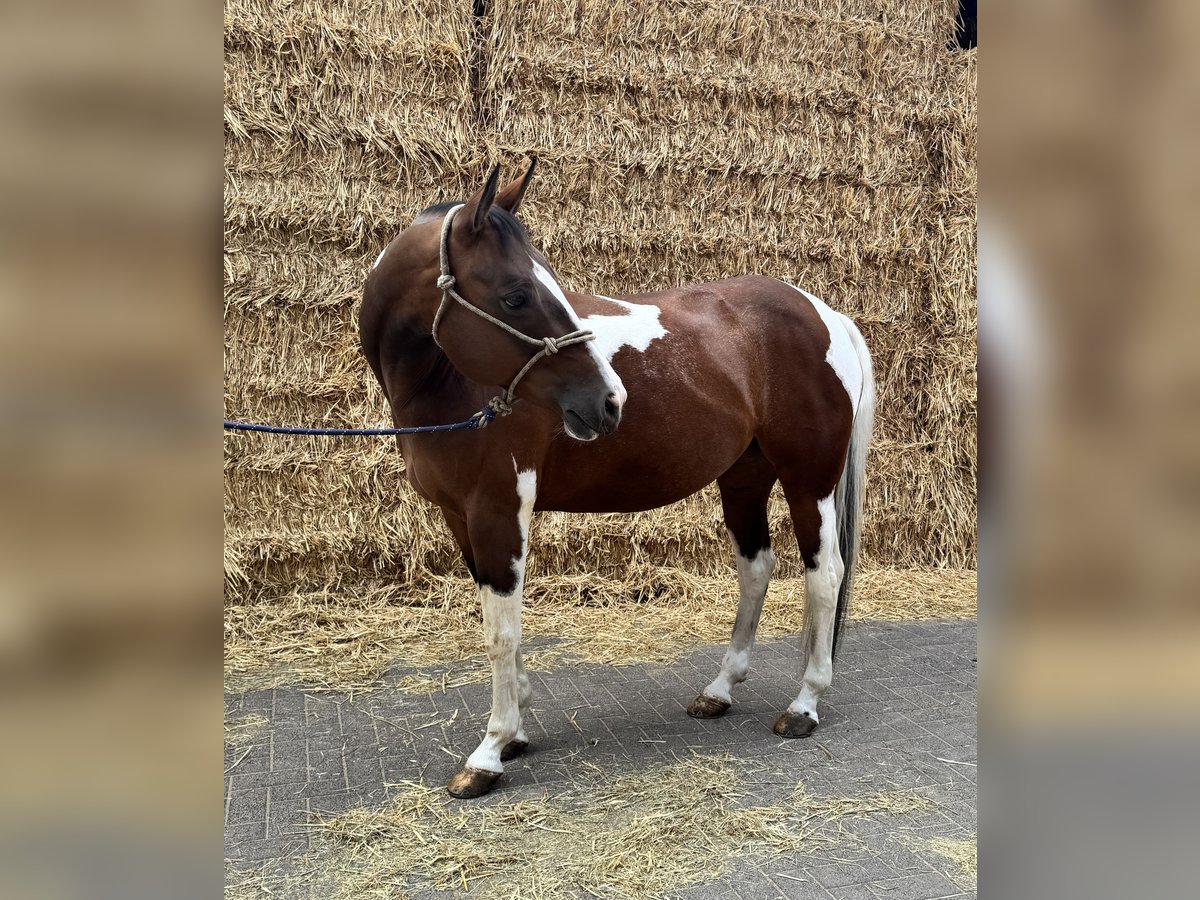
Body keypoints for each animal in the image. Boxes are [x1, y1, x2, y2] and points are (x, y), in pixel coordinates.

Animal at [359, 159, 875, 798]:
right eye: (516, 294)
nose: (610, 401)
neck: (447, 383)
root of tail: (824, 314)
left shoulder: (498, 511)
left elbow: (502, 632)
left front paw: (490, 751)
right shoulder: (462, 518)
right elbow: (499, 621)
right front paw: (517, 731)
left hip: (810, 480)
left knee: (824, 575)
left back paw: (805, 705)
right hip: (744, 480)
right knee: (756, 569)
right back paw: (718, 691)